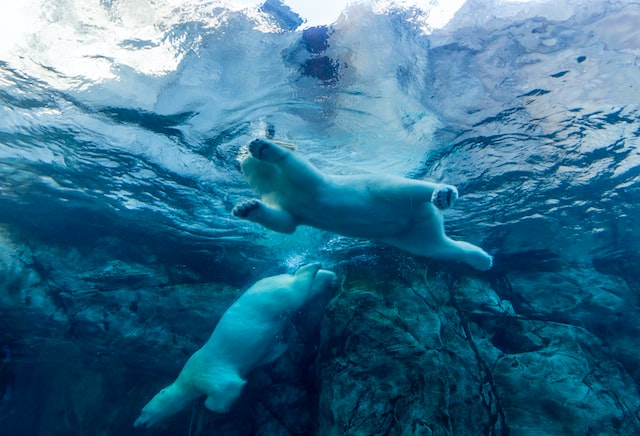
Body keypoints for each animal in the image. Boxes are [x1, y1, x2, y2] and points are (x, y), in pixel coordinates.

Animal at [133, 263, 338, 428]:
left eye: (143, 411)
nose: (137, 424)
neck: (186, 378)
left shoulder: (205, 372)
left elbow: (226, 387)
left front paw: (224, 408)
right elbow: (268, 353)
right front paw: (280, 348)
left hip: (276, 296)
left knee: (298, 289)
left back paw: (313, 267)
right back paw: (326, 276)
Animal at [233, 138, 493, 271]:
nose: (241, 154)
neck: (280, 185)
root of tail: (425, 215)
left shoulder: (312, 184)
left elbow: (301, 170)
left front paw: (264, 148)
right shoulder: (286, 203)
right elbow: (285, 223)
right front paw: (245, 207)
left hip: (378, 188)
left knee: (400, 188)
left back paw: (443, 193)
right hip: (411, 235)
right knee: (437, 247)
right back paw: (481, 259)